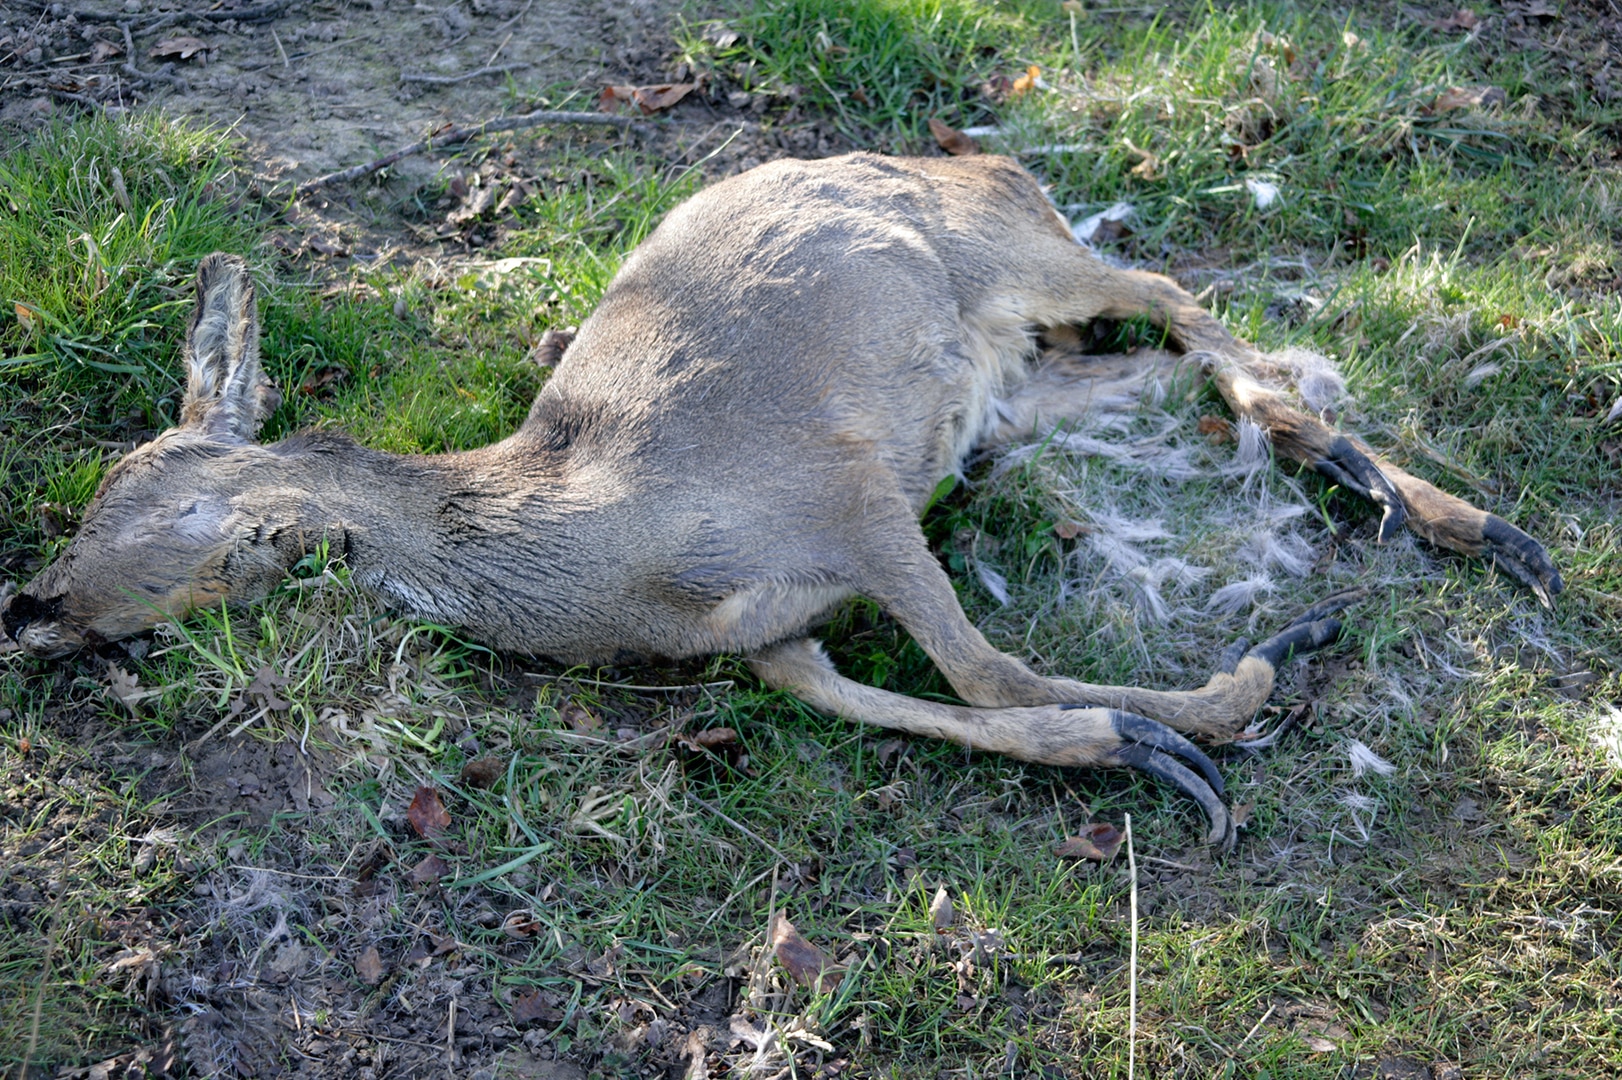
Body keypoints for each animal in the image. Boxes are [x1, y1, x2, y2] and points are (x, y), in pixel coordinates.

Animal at [6, 153, 1563, 843]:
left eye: (157, 514)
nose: (30, 606)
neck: (610, 541)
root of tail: (988, 159)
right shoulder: (773, 633)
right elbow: (885, 700)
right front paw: (1145, 739)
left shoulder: (849, 486)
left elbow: (982, 668)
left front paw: (1236, 696)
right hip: (1010, 386)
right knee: (1152, 368)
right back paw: (1350, 477)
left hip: (1012, 254)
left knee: (1171, 289)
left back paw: (1439, 510)